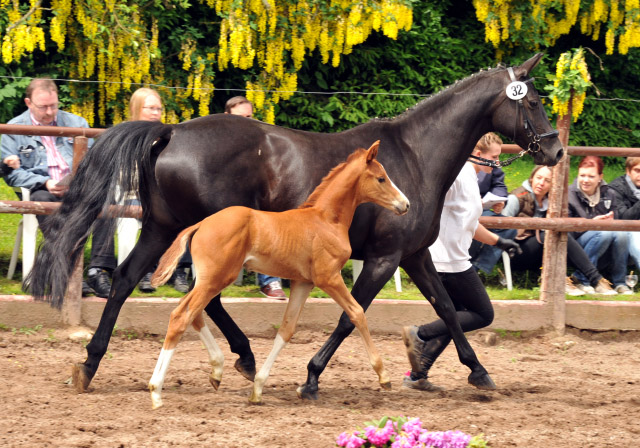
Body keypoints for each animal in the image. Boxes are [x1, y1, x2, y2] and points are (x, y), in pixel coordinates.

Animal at [149, 142, 410, 408]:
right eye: (381, 178)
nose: (405, 204)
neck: (326, 220)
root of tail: (201, 224)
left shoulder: (303, 283)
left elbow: (287, 329)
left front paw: (258, 389)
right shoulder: (328, 278)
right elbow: (357, 312)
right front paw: (384, 376)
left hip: (209, 280)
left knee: (193, 313)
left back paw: (217, 371)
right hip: (215, 278)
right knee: (181, 316)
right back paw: (156, 391)